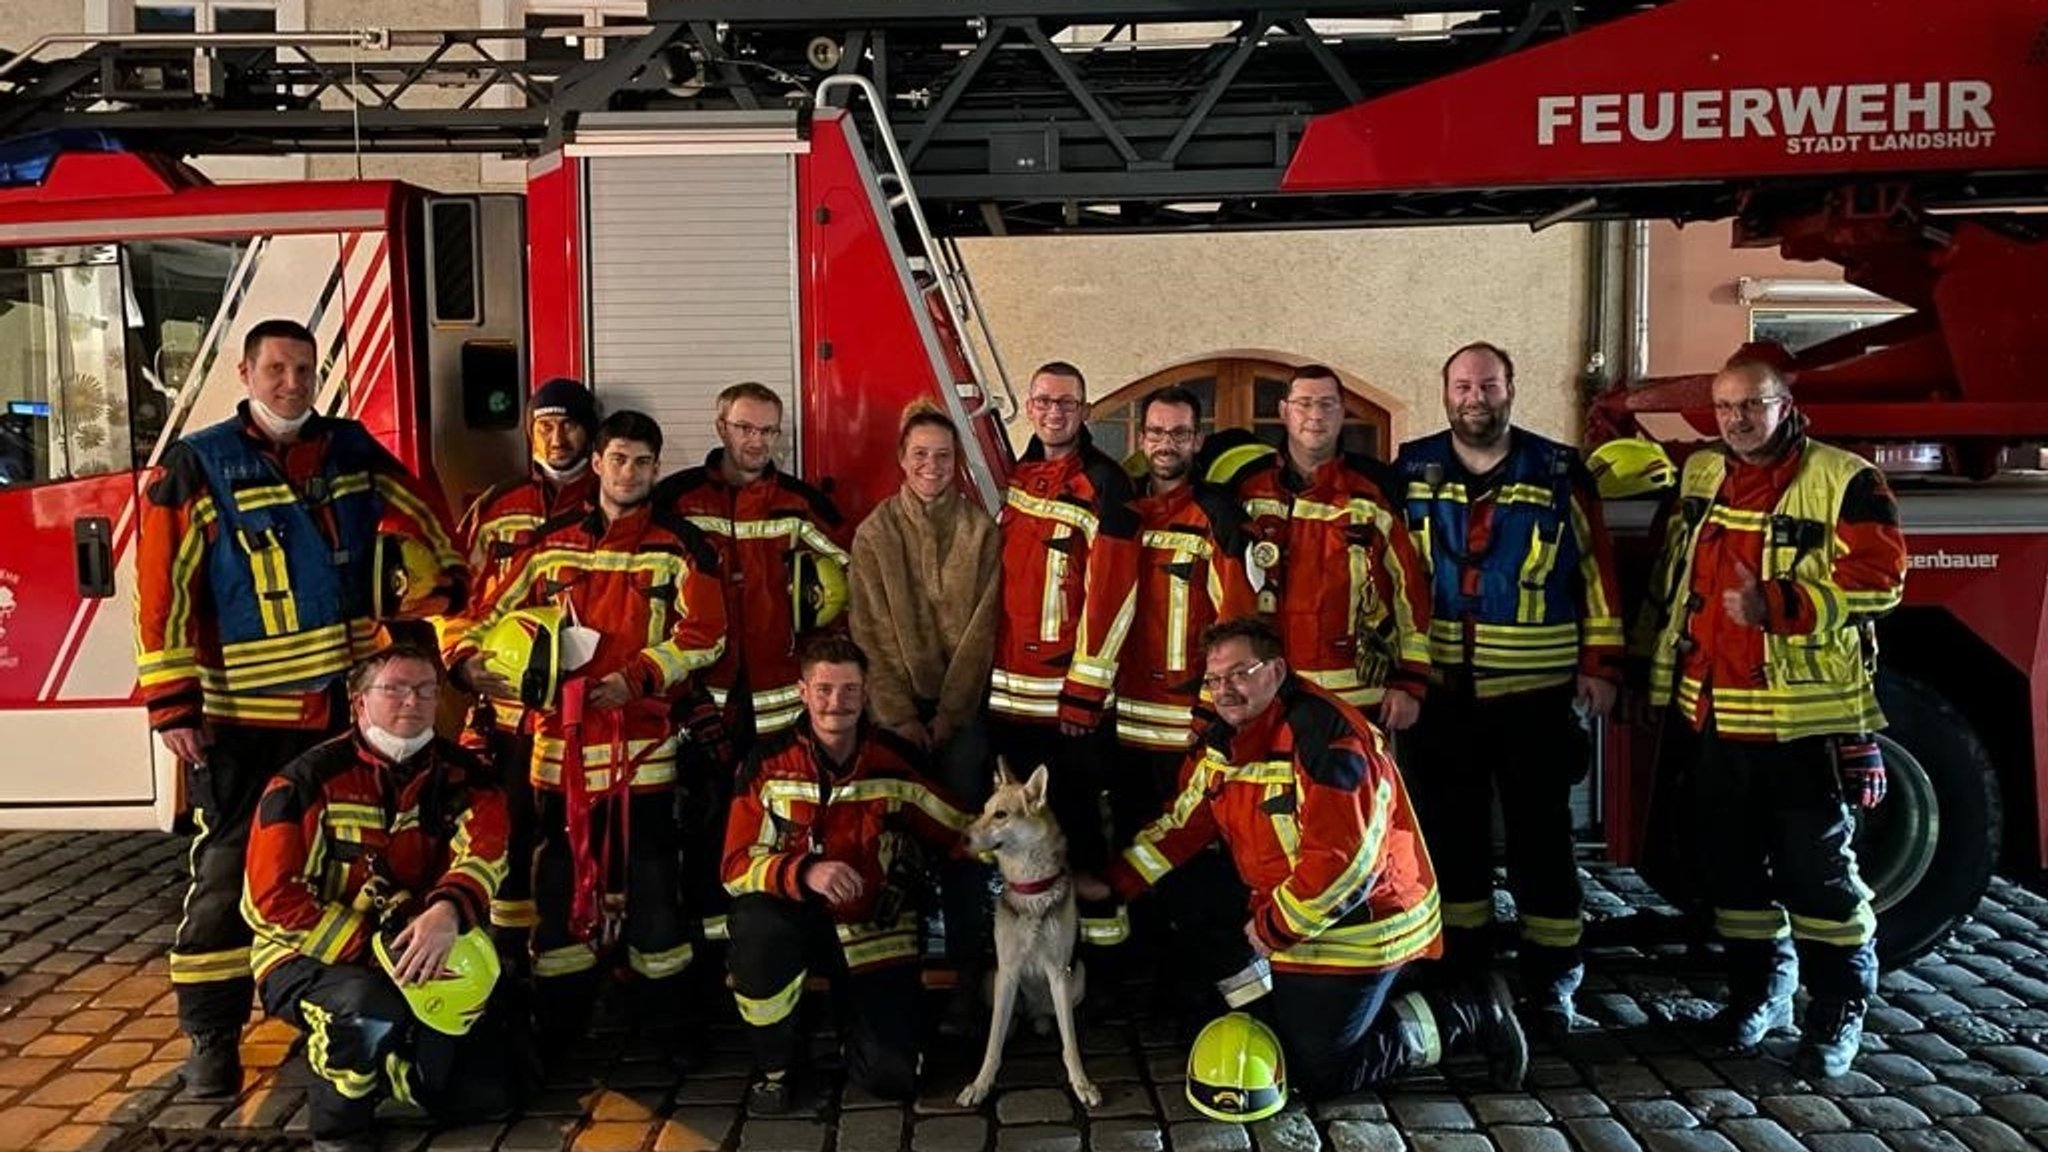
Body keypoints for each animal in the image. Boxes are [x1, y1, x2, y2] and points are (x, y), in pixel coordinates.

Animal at [958, 758, 1105, 1106]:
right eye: (984, 810)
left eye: (1001, 814)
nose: (961, 838)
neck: (1031, 891)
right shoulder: (1008, 970)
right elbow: (993, 1043)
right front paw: (980, 1085)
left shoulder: (1059, 972)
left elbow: (1070, 1044)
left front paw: (1082, 1084)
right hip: (992, 979)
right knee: (1008, 1018)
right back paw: (1015, 1024)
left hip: (1078, 977)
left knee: (1047, 1016)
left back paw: (1040, 1022)